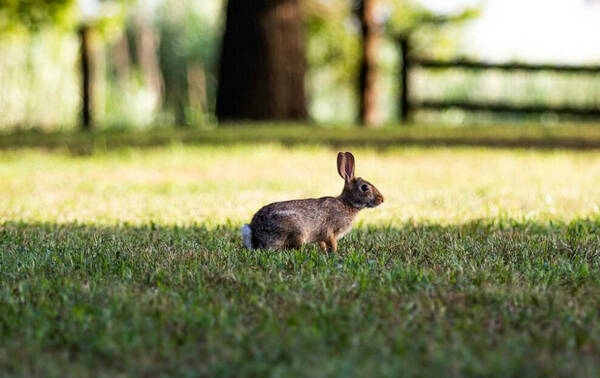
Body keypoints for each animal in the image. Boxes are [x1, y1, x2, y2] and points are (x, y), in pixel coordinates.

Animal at [243, 151, 384, 251]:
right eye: (365, 187)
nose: (382, 199)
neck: (347, 203)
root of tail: (255, 234)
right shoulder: (330, 231)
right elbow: (332, 243)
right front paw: (335, 254)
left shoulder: (322, 236)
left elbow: (323, 244)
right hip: (297, 230)